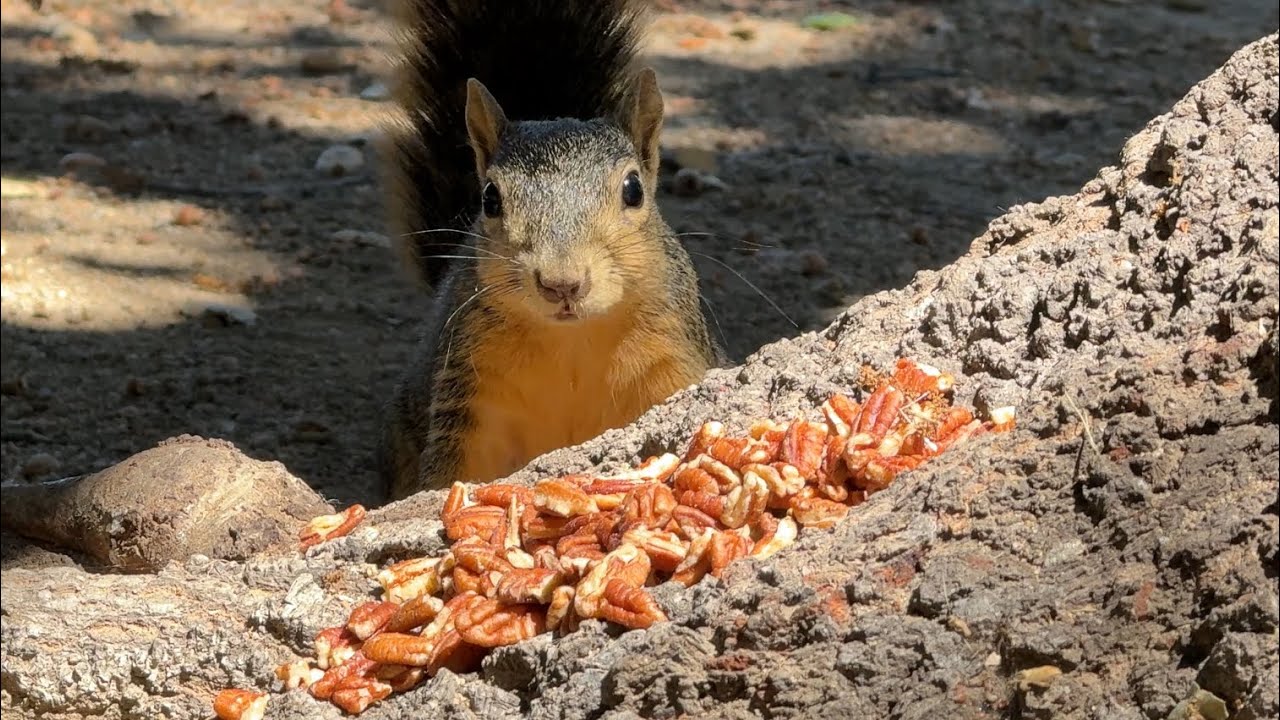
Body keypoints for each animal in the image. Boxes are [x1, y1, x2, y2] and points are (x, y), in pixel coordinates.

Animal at [378, 0, 726, 500]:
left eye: (634, 189)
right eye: (489, 198)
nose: (562, 284)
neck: (572, 343)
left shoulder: (674, 361)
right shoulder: (472, 397)